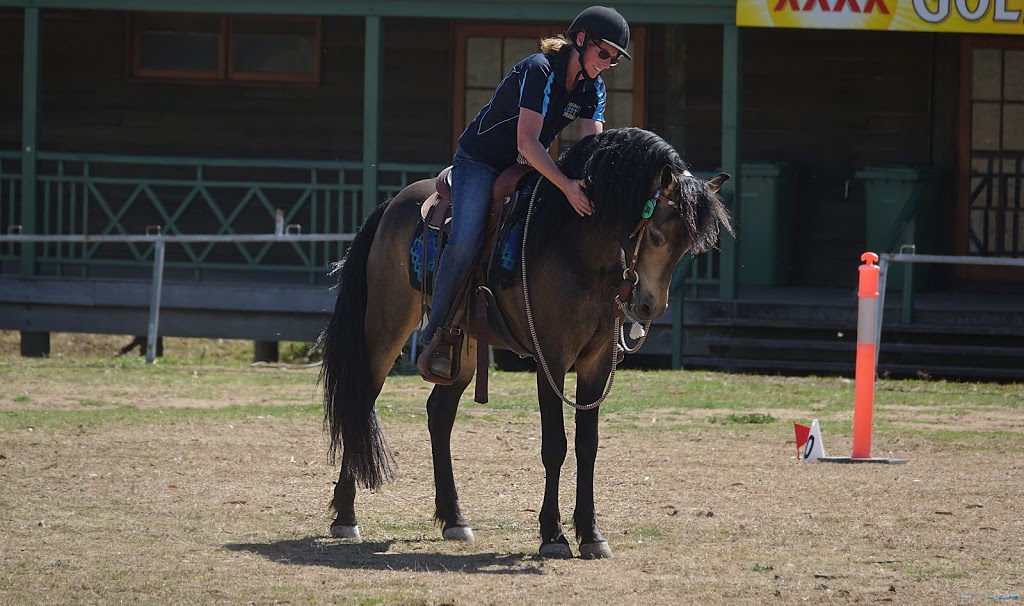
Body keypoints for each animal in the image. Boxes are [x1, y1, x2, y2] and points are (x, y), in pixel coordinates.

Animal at [315, 126, 733, 556]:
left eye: (688, 246)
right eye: (656, 235)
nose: (650, 306)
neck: (577, 246)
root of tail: (390, 206)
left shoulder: (598, 362)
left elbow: (588, 445)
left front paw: (591, 534)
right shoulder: (551, 359)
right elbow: (555, 445)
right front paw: (553, 535)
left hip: (463, 348)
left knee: (439, 413)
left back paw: (454, 519)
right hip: (386, 328)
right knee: (361, 400)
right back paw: (346, 516)